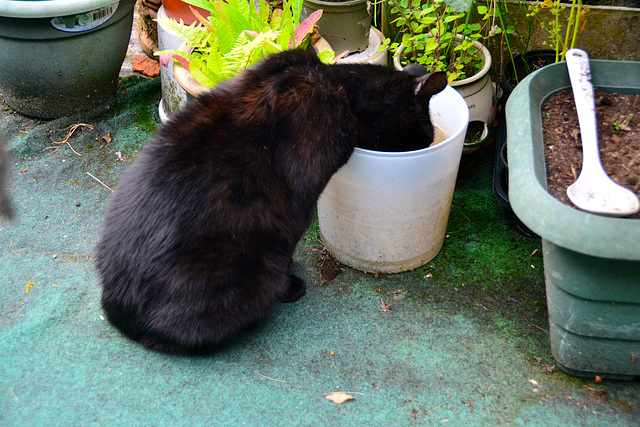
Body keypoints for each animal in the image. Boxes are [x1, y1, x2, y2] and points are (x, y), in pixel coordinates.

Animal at [95, 49, 444, 354]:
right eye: (422, 139)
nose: (424, 151)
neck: (337, 83)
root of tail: (119, 309)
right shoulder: (296, 209)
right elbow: (288, 245)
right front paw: (290, 285)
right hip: (248, 275)